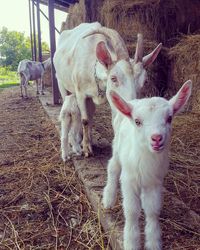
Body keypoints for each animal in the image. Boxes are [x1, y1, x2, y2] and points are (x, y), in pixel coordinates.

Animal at [54, 22, 162, 157]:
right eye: (113, 78)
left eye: (144, 81)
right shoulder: (80, 94)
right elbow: (85, 120)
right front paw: (86, 149)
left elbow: (102, 119)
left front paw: (91, 143)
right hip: (60, 81)